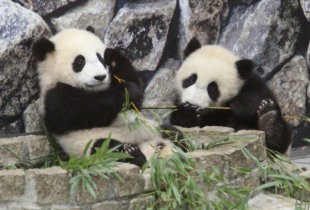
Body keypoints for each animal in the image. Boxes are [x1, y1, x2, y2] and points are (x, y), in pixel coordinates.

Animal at [33, 28, 179, 167]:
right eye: (80, 61)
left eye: (100, 58)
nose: (100, 77)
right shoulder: (54, 98)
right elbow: (86, 110)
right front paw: (127, 91)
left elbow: (136, 98)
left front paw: (113, 56)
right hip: (89, 144)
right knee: (107, 148)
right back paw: (132, 153)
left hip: (151, 127)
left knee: (172, 132)